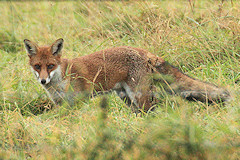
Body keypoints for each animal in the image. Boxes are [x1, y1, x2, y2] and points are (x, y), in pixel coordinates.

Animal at [23, 38, 231, 112]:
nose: (43, 80)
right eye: (37, 66)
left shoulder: (79, 101)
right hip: (127, 98)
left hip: (139, 96)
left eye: (50, 65)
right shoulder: (61, 105)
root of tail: (144, 51)